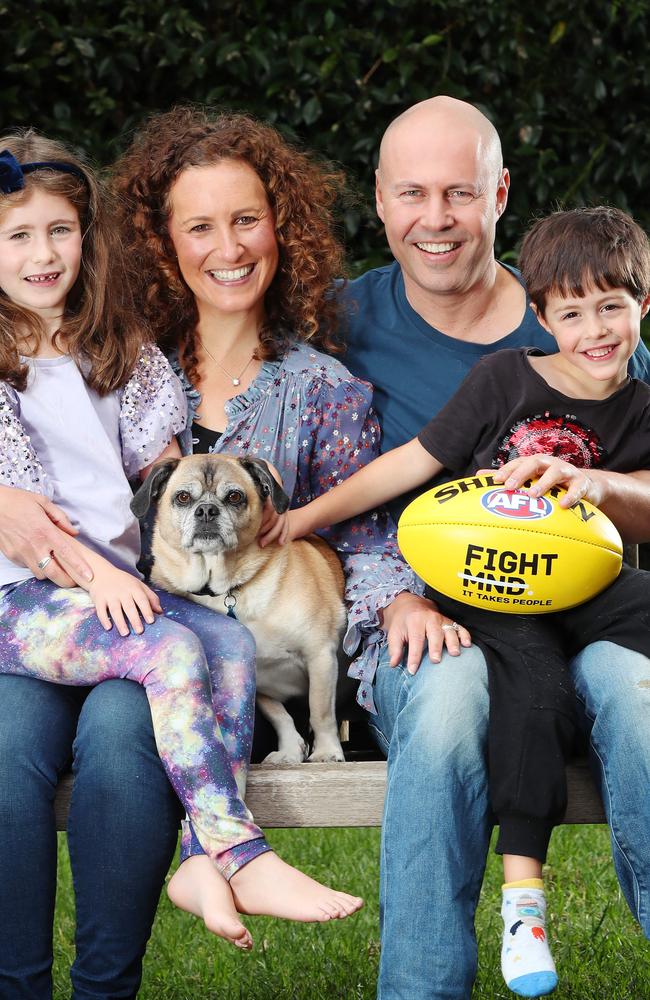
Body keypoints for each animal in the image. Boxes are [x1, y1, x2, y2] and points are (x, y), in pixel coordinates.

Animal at [129, 456, 346, 764]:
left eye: (234, 497)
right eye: (183, 497)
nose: (207, 510)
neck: (225, 588)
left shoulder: (320, 655)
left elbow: (321, 711)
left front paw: (326, 751)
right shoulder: (259, 684)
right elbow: (280, 715)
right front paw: (290, 749)